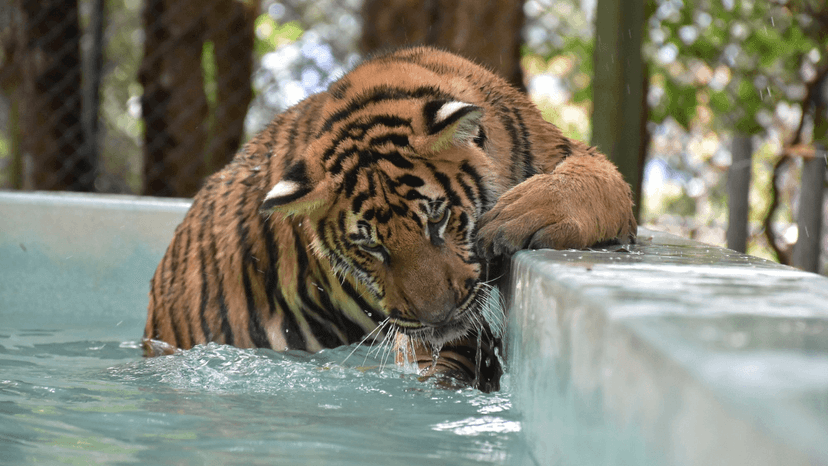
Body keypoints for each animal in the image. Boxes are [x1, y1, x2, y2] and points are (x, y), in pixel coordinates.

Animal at [143, 46, 637, 392]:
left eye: (438, 220)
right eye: (371, 246)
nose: (438, 316)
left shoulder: (569, 153)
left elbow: (595, 181)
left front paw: (516, 215)